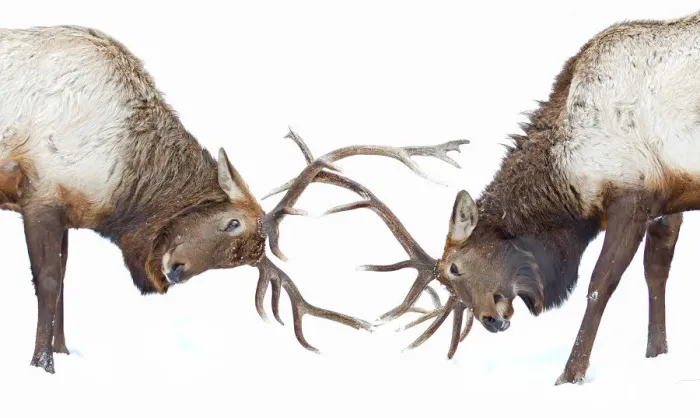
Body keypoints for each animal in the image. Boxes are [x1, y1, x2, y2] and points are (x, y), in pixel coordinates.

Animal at [0, 25, 469, 374]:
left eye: (235, 261)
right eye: (232, 222)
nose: (175, 271)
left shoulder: (66, 210)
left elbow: (64, 281)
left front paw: (64, 353)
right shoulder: (40, 192)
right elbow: (48, 282)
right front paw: (42, 363)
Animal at [269, 11, 700, 386]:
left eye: (454, 268)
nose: (490, 320)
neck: (567, 168)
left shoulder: (631, 194)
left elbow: (600, 285)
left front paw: (569, 375)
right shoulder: (666, 200)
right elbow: (656, 273)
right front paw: (656, 353)